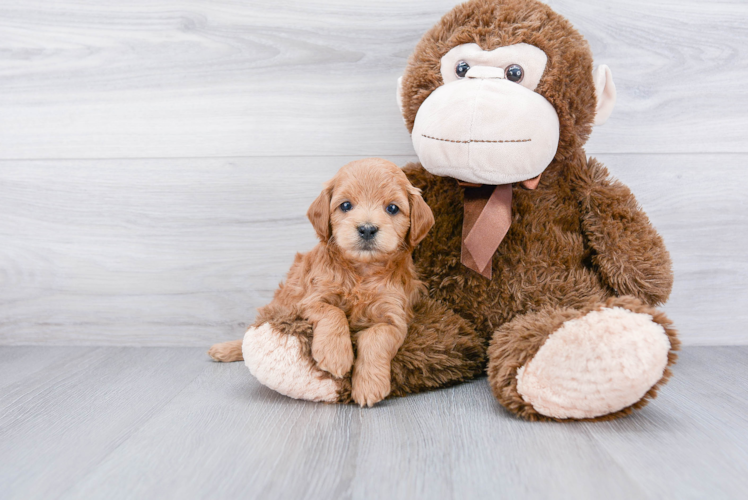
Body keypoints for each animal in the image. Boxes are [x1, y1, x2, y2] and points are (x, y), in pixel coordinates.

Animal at [207, 158, 436, 408]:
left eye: (392, 208)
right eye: (345, 205)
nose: (367, 229)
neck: (362, 272)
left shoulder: (394, 316)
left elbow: (377, 338)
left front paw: (369, 385)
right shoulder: (309, 300)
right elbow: (333, 312)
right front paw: (336, 355)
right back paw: (224, 349)